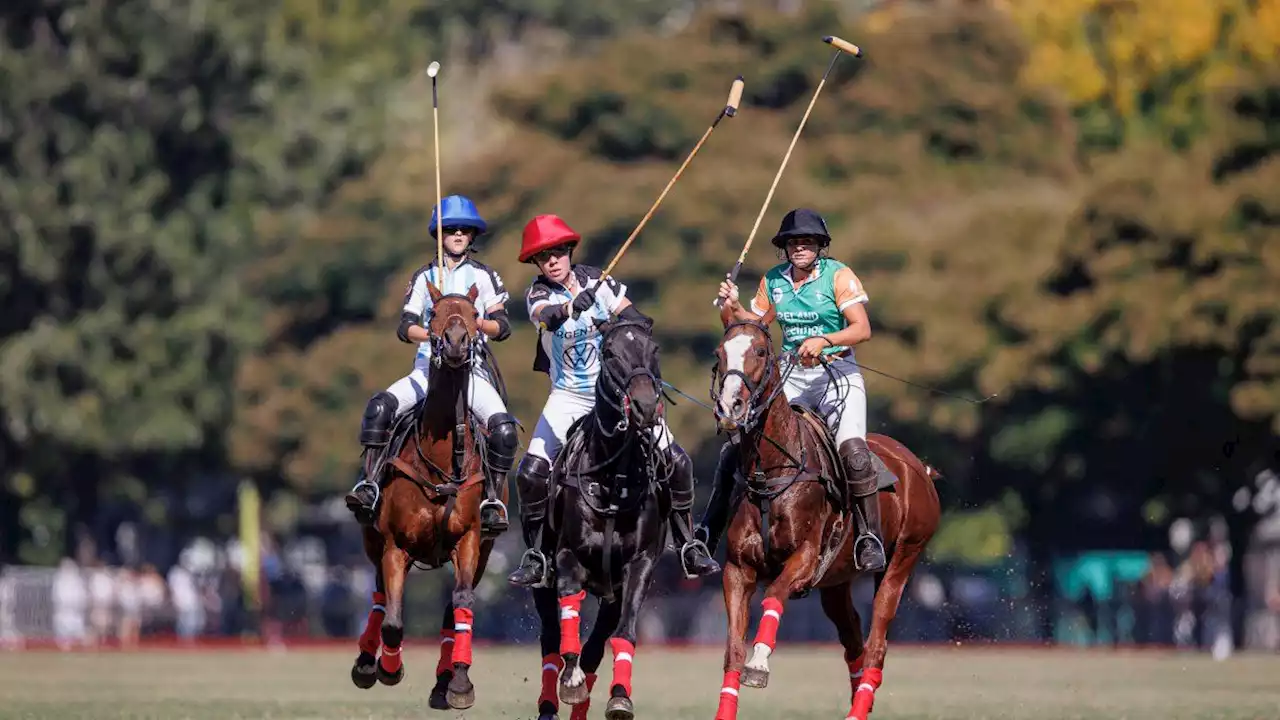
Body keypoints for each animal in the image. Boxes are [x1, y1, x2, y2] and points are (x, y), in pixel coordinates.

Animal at [353, 280, 512, 707]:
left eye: (474, 315)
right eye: (433, 314)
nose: (456, 342)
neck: (440, 459)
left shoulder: (470, 541)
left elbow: (461, 606)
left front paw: (458, 684)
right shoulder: (395, 545)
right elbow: (393, 620)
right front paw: (389, 668)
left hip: (483, 552)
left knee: (451, 609)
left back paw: (444, 681)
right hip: (372, 538)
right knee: (379, 596)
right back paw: (366, 663)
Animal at [524, 316, 675, 717]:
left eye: (654, 350)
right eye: (609, 353)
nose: (645, 406)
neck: (613, 479)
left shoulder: (639, 566)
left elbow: (624, 633)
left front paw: (620, 696)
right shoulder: (566, 558)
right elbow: (568, 623)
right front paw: (570, 680)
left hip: (610, 593)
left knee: (595, 648)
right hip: (542, 577)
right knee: (550, 640)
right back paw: (550, 703)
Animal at [711, 304, 942, 717]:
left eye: (760, 352)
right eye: (720, 353)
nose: (730, 408)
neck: (772, 469)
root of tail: (920, 468)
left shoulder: (804, 560)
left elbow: (774, 595)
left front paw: (759, 663)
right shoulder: (737, 570)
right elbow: (732, 651)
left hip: (904, 557)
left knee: (877, 645)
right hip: (836, 581)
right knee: (854, 642)